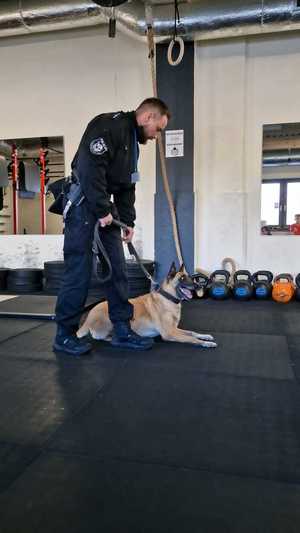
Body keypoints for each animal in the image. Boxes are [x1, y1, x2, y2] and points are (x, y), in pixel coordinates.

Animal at [77, 262, 217, 348]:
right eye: (182, 278)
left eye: (189, 277)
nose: (198, 286)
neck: (168, 298)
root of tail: (88, 318)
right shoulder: (169, 333)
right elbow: (191, 339)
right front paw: (205, 343)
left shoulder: (174, 329)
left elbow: (192, 333)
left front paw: (206, 336)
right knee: (101, 337)